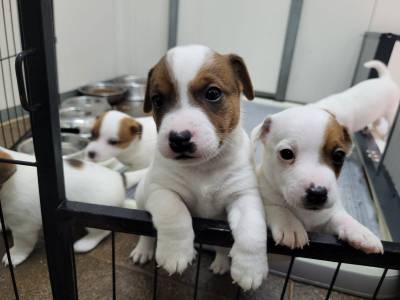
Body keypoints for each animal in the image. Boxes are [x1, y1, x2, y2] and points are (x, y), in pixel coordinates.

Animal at [0, 146, 144, 266]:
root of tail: (120, 178)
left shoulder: (23, 226)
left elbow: (22, 243)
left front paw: (14, 255)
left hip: (90, 219)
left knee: (103, 232)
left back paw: (85, 243)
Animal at [130, 44, 268, 290]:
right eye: (157, 100)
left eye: (213, 93)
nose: (179, 138)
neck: (204, 166)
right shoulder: (162, 190)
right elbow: (175, 213)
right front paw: (175, 253)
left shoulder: (243, 195)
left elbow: (252, 229)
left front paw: (250, 268)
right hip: (142, 202)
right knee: (146, 234)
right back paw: (143, 250)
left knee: (222, 246)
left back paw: (221, 263)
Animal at [250, 106, 384, 254]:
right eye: (286, 153)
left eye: (339, 155)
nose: (317, 193)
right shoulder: (264, 199)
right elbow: (276, 207)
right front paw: (290, 225)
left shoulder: (324, 222)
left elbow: (340, 216)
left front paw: (361, 231)